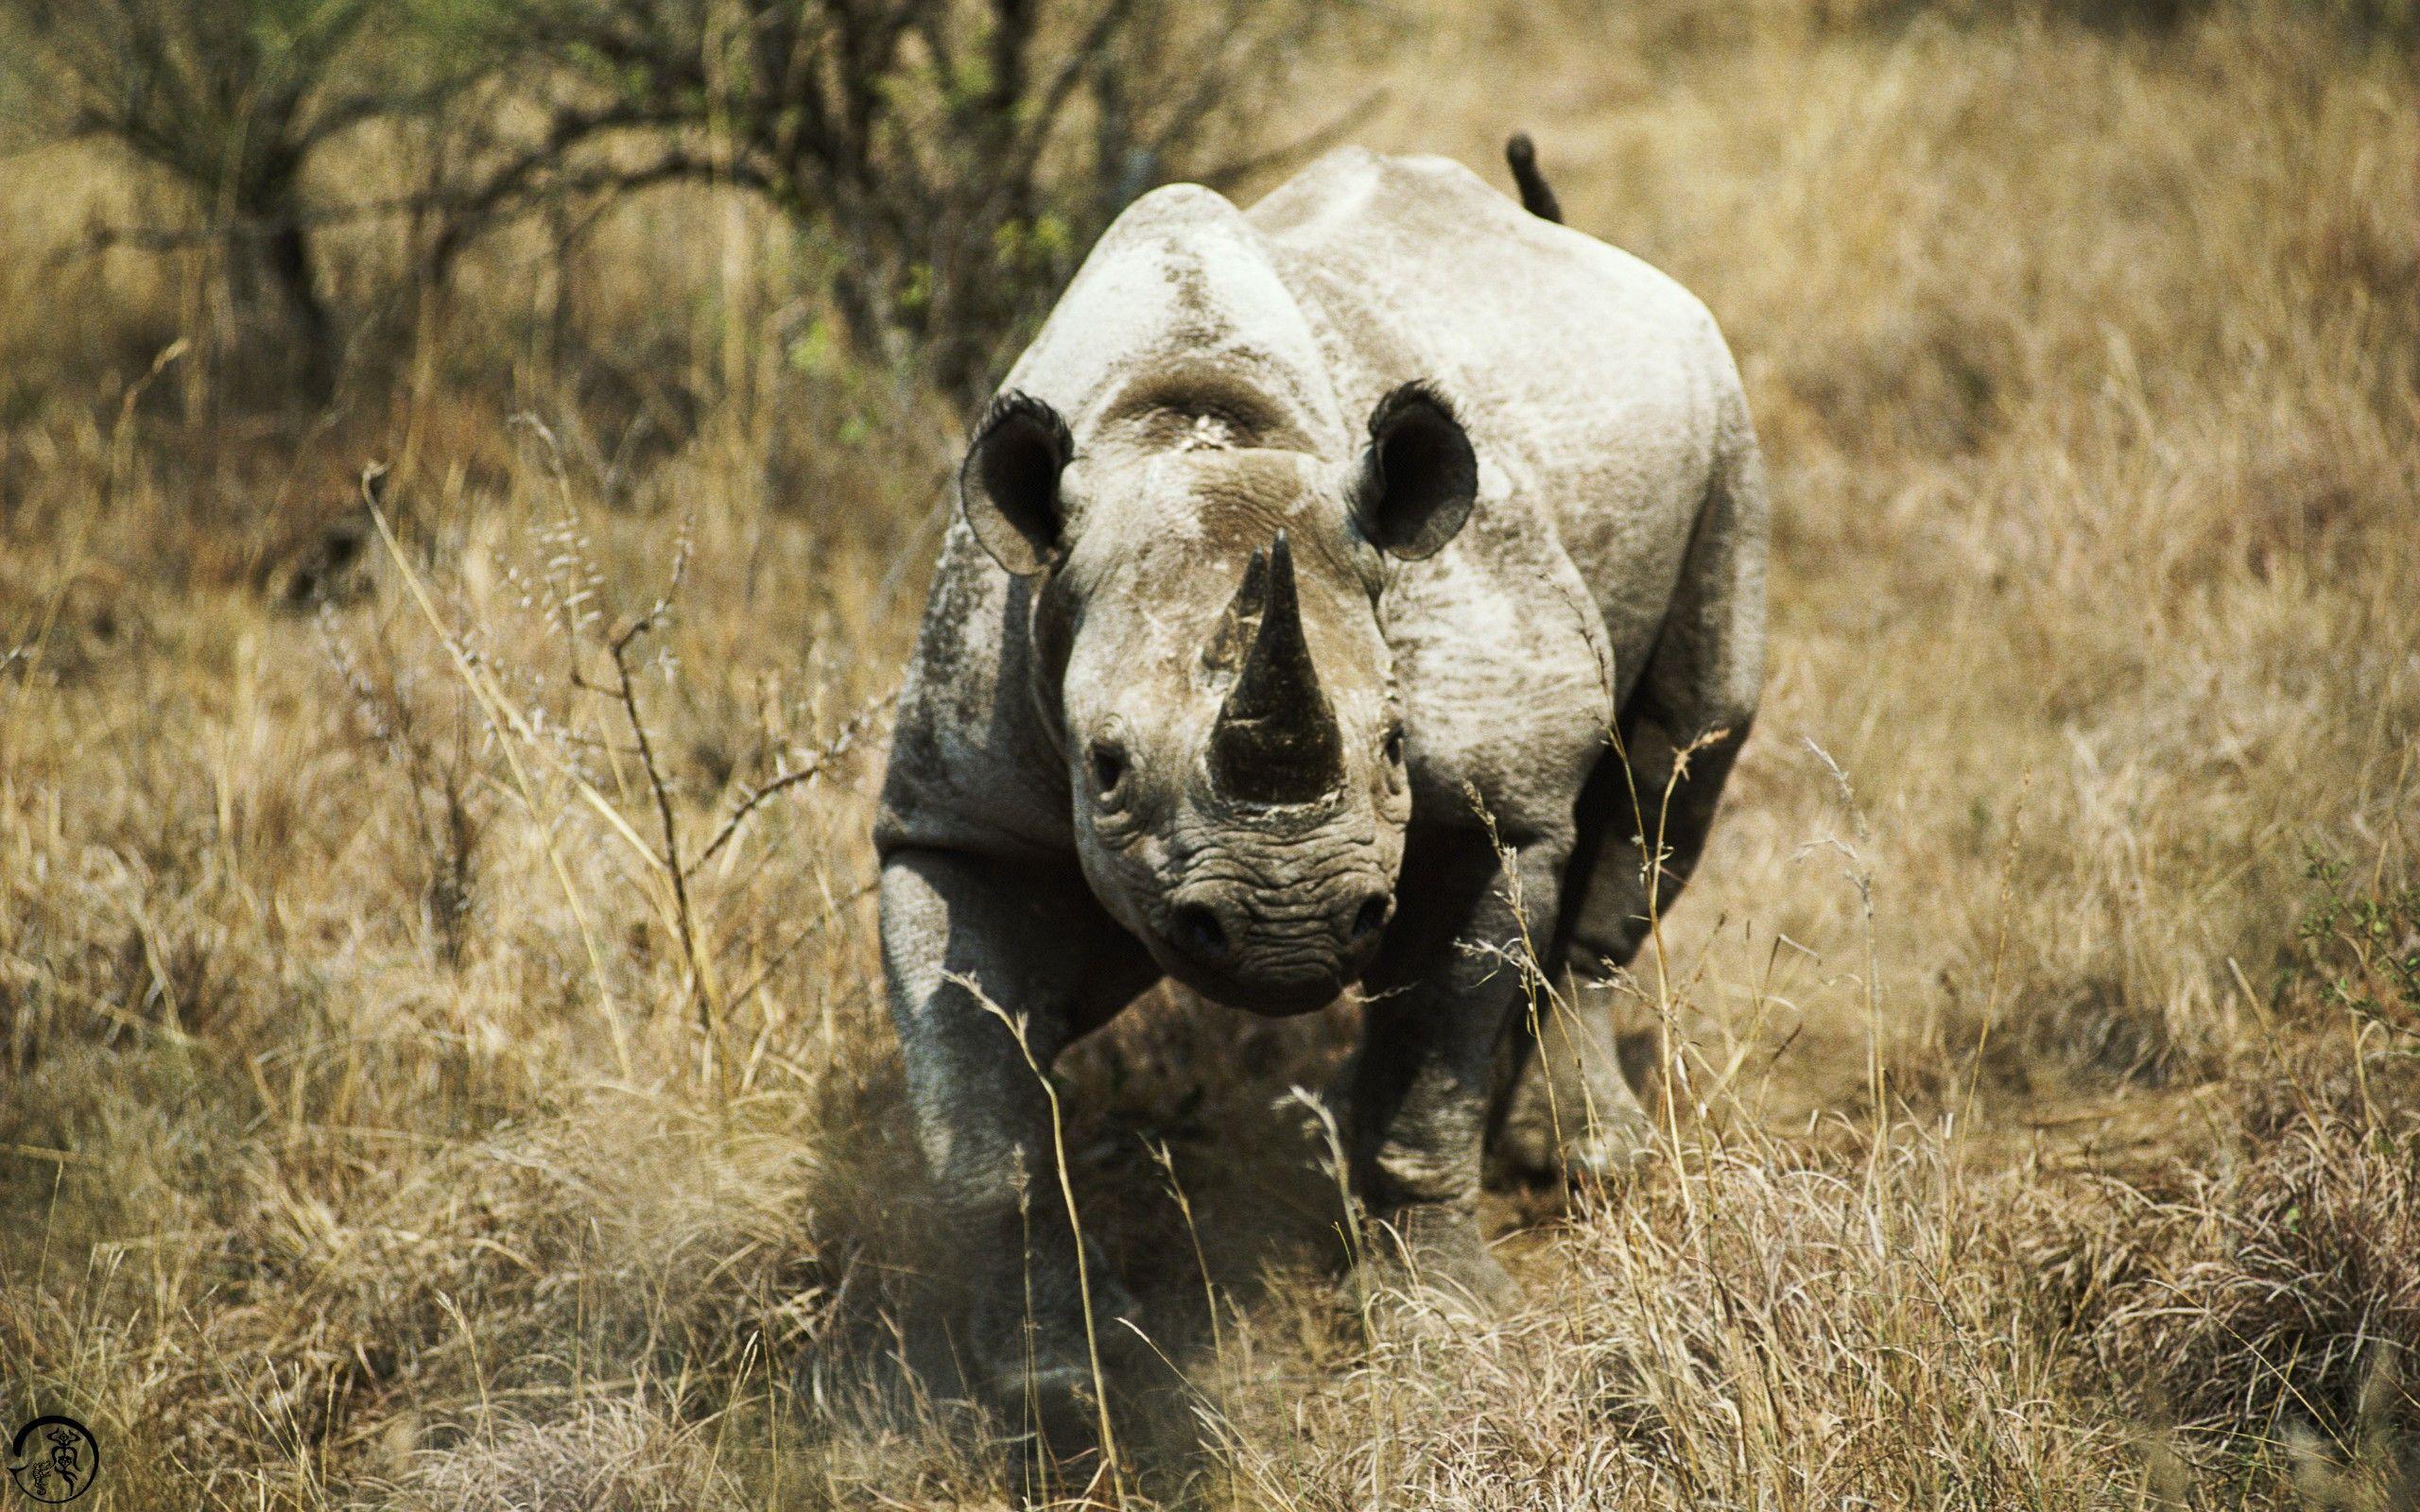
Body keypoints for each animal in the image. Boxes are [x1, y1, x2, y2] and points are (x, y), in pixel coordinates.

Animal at [875, 136, 1766, 1430]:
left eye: (1395, 746)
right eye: (1104, 766)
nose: (1284, 926)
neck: (1185, 428)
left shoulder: (1495, 799)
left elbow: (1436, 1056)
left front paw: (1441, 1321)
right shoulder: (955, 821)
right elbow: (979, 1110)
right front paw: (1053, 1383)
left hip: (1722, 425)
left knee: (1674, 767)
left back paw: (1585, 1161)